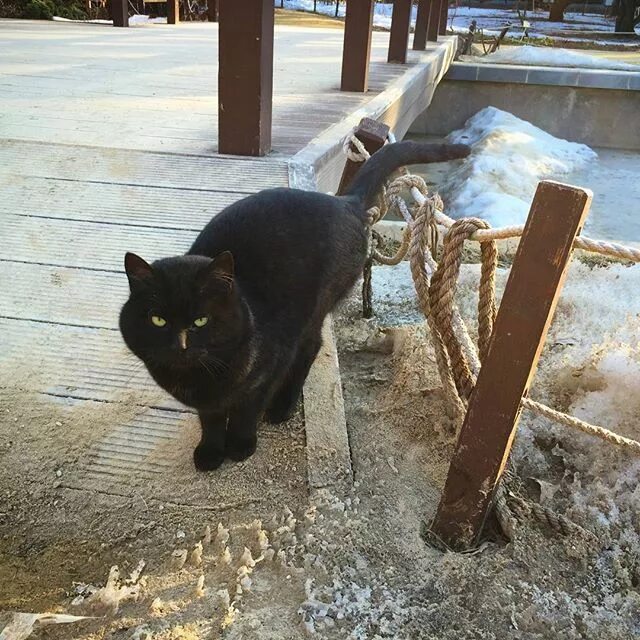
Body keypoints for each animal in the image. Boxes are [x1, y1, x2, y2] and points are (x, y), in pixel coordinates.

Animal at [120, 141, 470, 470]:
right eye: (158, 321)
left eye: (201, 321)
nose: (179, 345)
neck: (201, 378)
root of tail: (345, 202)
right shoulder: (208, 404)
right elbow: (211, 419)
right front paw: (210, 452)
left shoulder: (269, 366)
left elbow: (247, 410)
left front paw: (240, 445)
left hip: (313, 309)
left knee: (311, 348)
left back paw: (282, 407)